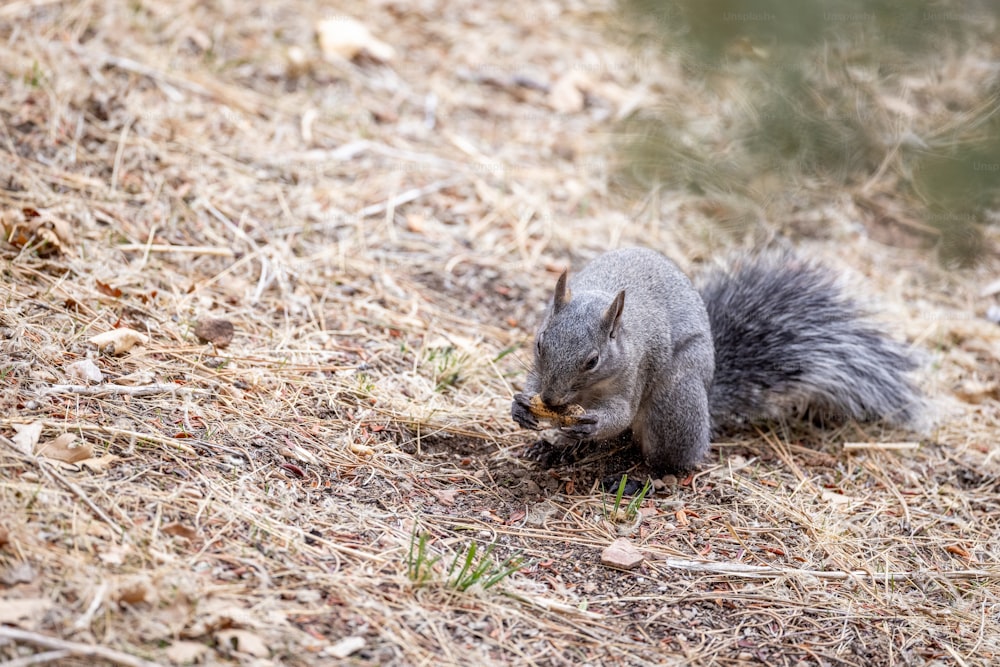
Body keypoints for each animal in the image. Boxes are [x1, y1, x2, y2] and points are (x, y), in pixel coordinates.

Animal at [512, 247, 924, 474]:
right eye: (540, 342)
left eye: (593, 360)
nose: (551, 401)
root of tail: (708, 405)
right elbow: (531, 383)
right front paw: (520, 406)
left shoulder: (635, 371)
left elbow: (620, 413)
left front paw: (592, 423)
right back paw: (552, 446)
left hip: (674, 404)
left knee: (673, 460)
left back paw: (638, 477)